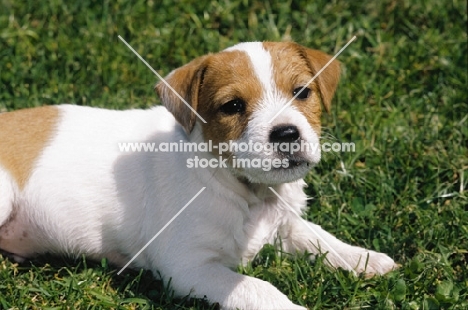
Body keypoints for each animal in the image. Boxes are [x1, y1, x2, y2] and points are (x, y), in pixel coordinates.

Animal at [0, 41, 396, 308]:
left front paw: (365, 259)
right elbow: (259, 288)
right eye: (233, 106)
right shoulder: (188, 266)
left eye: (302, 92)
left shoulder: (285, 223)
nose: (286, 134)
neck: (246, 192)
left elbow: (319, 237)